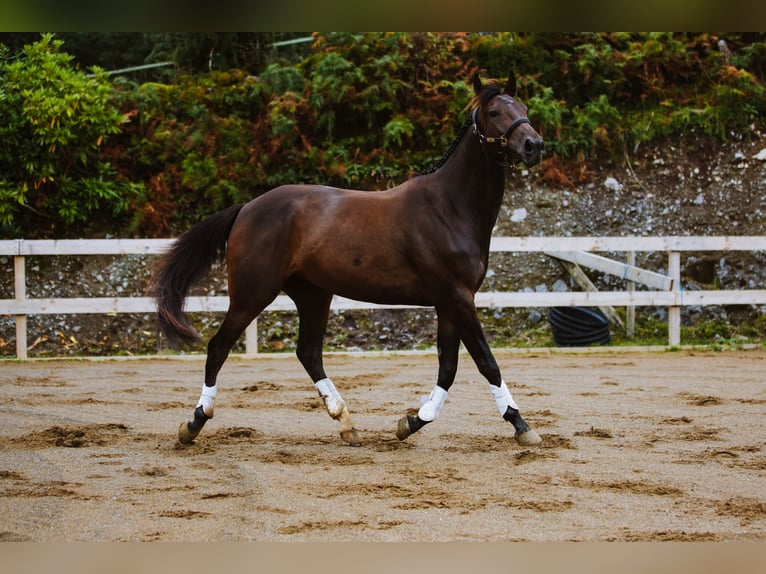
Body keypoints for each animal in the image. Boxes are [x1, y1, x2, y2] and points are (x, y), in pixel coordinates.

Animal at [151, 71, 545, 448]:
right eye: (494, 112)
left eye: (523, 106)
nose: (534, 145)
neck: (450, 206)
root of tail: (246, 208)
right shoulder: (458, 298)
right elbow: (486, 362)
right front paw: (520, 424)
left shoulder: (450, 301)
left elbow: (448, 367)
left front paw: (411, 422)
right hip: (252, 295)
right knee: (218, 347)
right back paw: (194, 423)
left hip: (313, 295)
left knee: (308, 352)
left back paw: (346, 423)